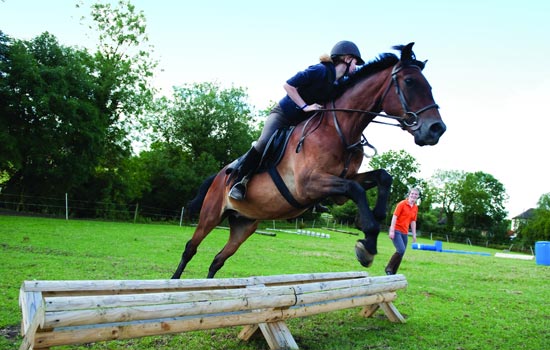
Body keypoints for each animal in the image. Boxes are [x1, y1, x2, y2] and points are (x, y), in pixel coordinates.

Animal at [172, 43, 448, 278]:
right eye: (410, 82)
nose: (437, 129)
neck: (340, 129)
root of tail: (220, 174)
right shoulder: (308, 185)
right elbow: (356, 188)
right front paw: (367, 241)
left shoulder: (339, 184)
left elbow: (382, 176)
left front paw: (374, 222)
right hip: (211, 215)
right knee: (190, 248)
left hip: (244, 223)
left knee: (218, 259)